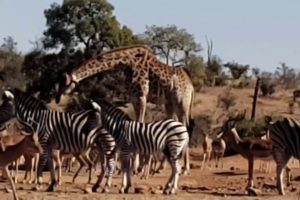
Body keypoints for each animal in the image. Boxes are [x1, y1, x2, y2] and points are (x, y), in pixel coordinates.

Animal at [54, 45, 195, 173]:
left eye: (63, 84)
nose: (56, 99)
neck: (126, 63)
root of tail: (191, 85)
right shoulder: (133, 98)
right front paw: (137, 166)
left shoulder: (141, 96)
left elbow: (139, 123)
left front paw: (136, 167)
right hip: (169, 104)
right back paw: (162, 167)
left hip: (182, 102)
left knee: (185, 127)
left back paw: (185, 168)